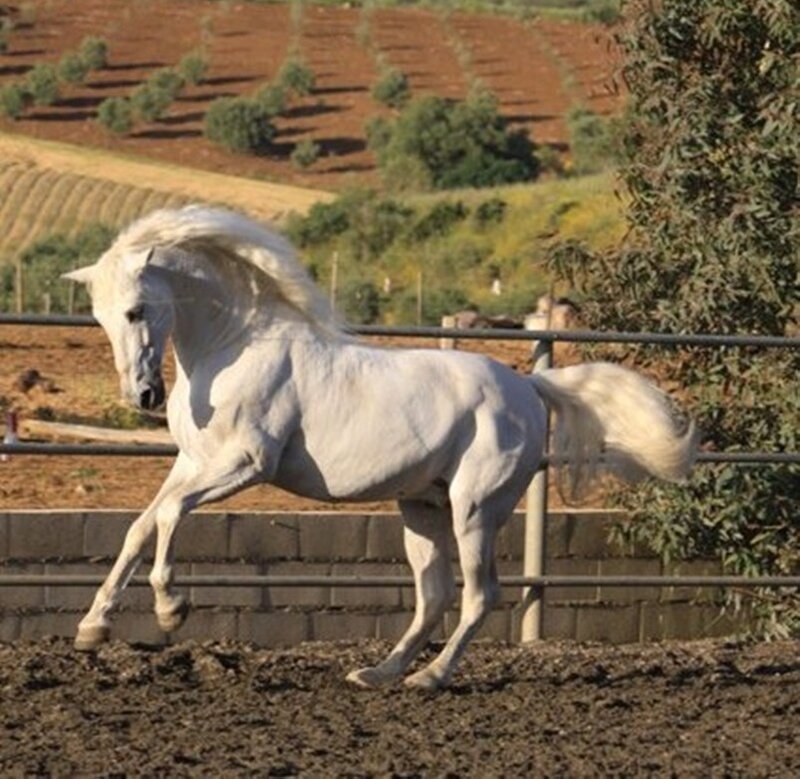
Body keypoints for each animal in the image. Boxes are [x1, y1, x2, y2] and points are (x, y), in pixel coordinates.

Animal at [63, 205, 698, 690]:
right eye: (99, 317)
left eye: (136, 310)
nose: (142, 396)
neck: (232, 347)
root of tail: (529, 386)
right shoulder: (193, 462)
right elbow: (141, 526)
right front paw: (93, 627)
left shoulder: (245, 465)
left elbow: (170, 515)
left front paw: (171, 610)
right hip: (423, 507)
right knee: (434, 595)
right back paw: (380, 672)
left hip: (475, 508)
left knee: (479, 594)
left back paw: (429, 678)